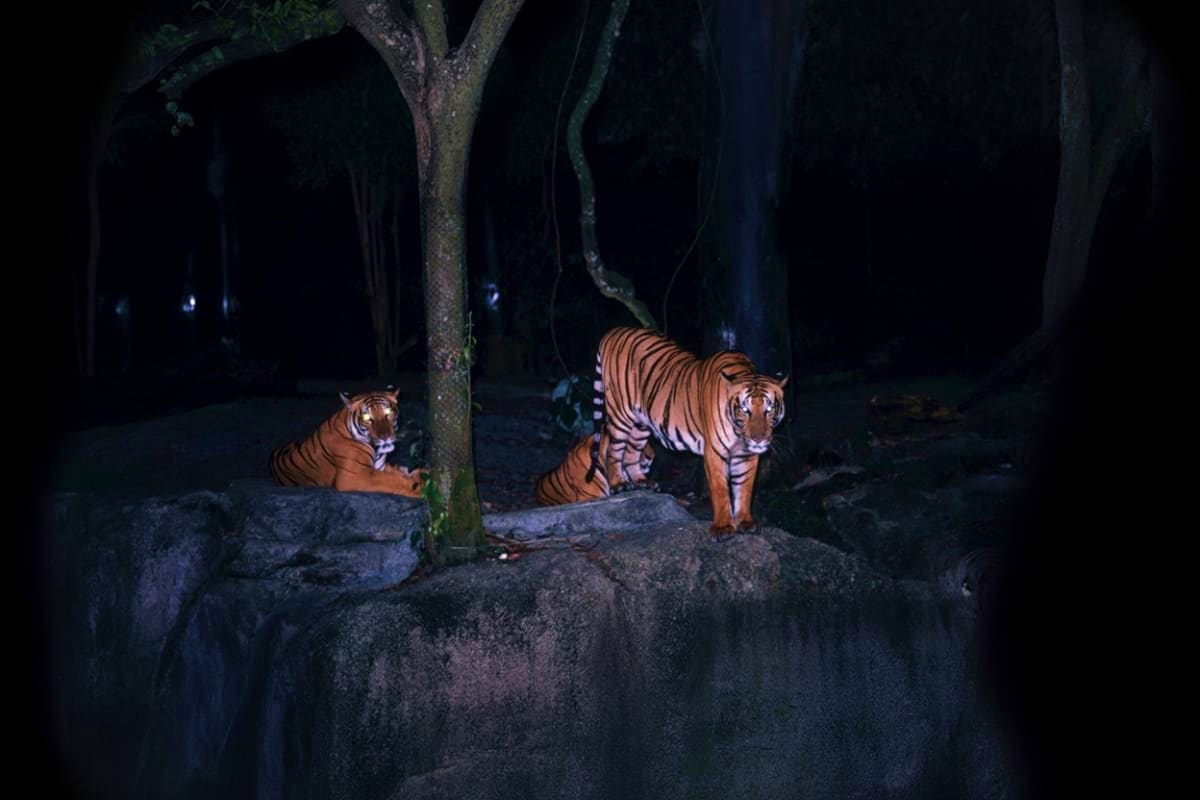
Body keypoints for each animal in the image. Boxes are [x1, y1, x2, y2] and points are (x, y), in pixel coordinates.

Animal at [269, 389, 425, 497]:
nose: (385, 436)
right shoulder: (354, 475)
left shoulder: (380, 467)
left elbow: (401, 475)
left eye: (388, 412)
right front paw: (423, 489)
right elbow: (396, 481)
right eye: (367, 417)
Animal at [586, 327, 787, 537]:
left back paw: (643, 482)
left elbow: (744, 489)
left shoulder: (747, 455)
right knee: (613, 450)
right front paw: (723, 527)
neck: (739, 432)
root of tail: (615, 330)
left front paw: (745, 522)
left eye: (769, 409)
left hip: (641, 423)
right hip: (621, 413)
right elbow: (721, 490)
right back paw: (618, 484)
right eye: (744, 409)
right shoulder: (715, 452)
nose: (758, 440)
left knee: (631, 453)